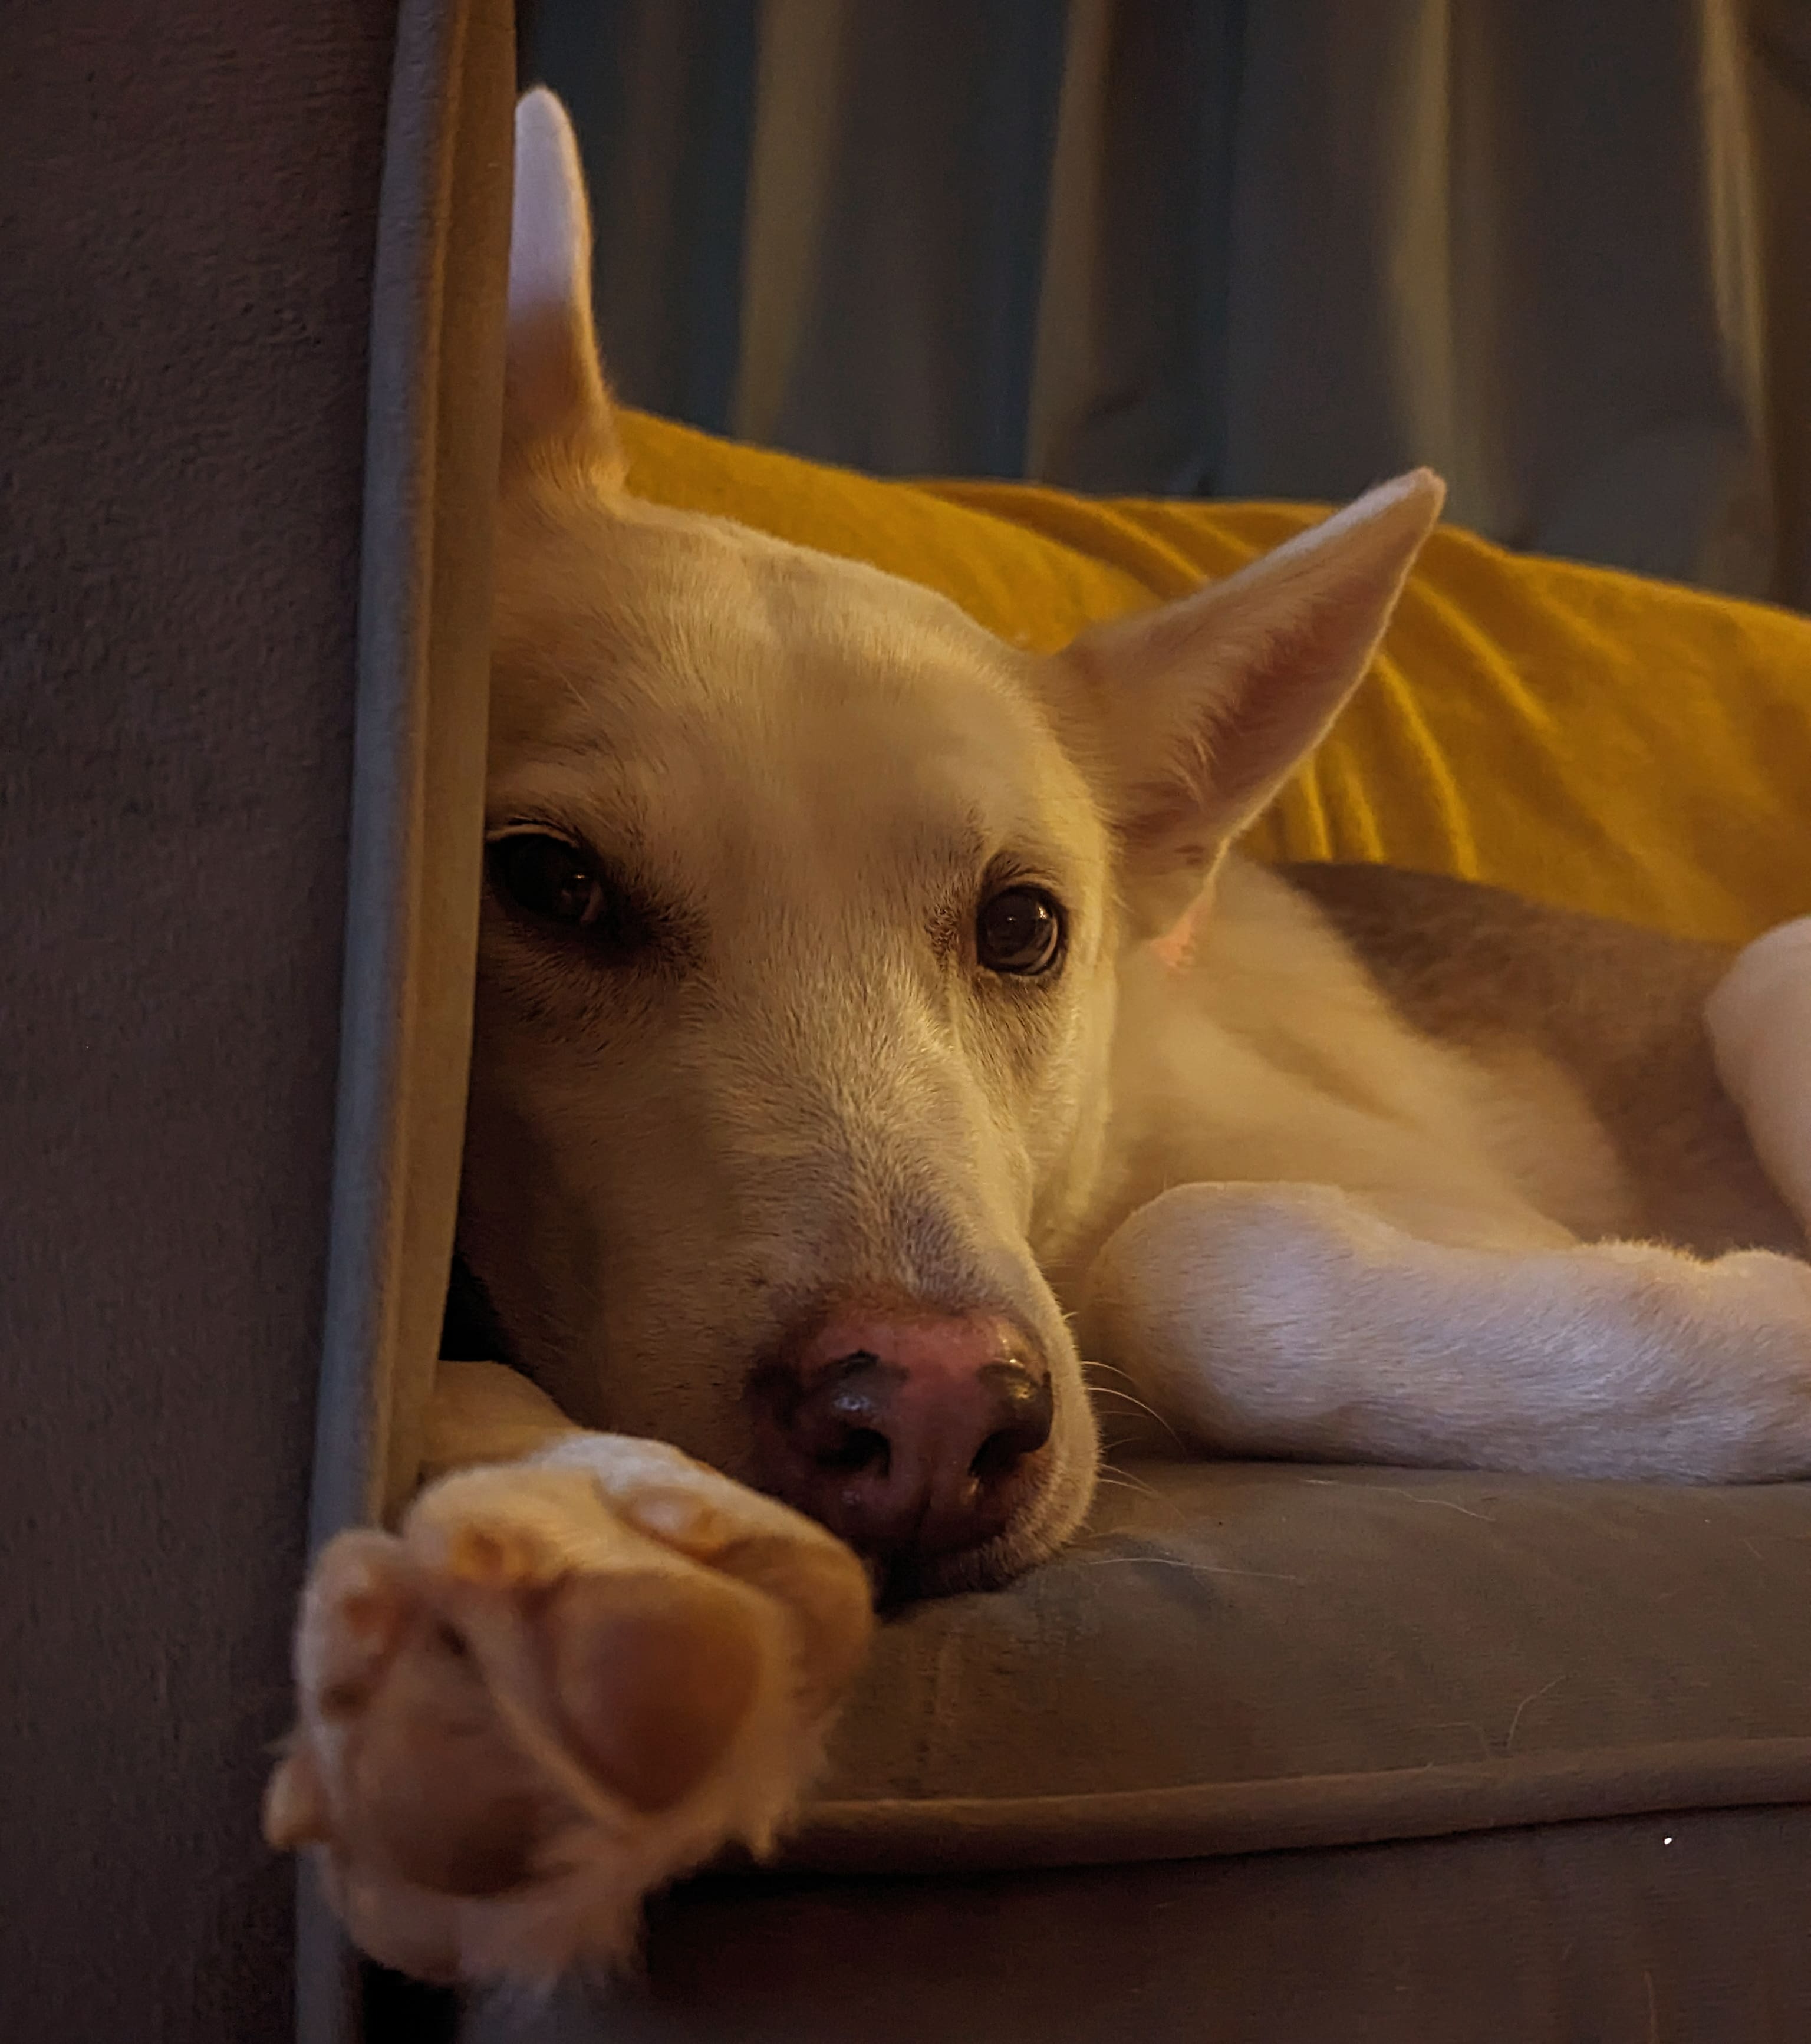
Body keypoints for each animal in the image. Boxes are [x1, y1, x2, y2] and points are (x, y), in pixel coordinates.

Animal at [263, 88, 1811, 1986]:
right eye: (546, 882)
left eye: (1023, 928)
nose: (933, 1417)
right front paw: (582, 1552)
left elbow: (1185, 1258)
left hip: (1765, 980)